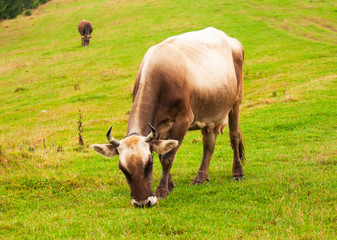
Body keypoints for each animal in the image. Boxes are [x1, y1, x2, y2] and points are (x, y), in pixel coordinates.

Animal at [92, 27, 244, 207]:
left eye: (148, 165)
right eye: (122, 169)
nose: (142, 202)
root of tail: (231, 39)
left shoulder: (182, 120)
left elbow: (168, 157)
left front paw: (162, 190)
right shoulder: (159, 127)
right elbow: (162, 153)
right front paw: (170, 185)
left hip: (236, 101)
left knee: (234, 136)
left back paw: (237, 173)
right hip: (209, 112)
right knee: (209, 144)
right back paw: (201, 177)